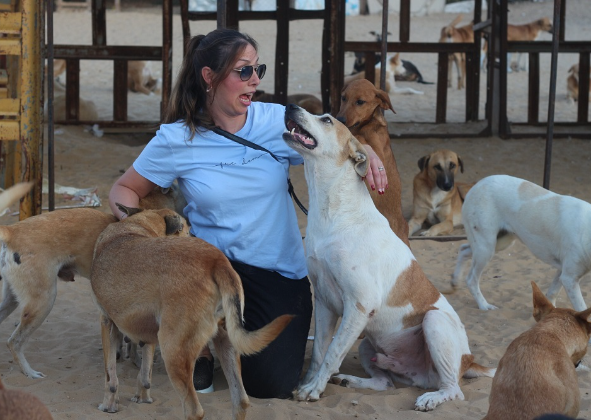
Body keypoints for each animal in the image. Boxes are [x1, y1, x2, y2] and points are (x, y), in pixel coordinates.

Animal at [92, 206, 294, 420]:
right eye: (188, 230)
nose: (195, 234)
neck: (136, 226)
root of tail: (216, 260)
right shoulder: (147, 334)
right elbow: (145, 373)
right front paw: (142, 397)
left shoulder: (107, 323)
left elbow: (110, 376)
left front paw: (109, 404)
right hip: (226, 344)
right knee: (241, 401)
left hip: (173, 351)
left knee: (194, 410)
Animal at [454, 174, 591, 312]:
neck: (586, 230)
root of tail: (477, 185)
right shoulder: (569, 279)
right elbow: (582, 309)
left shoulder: (563, 272)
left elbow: (552, 293)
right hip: (486, 248)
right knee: (471, 279)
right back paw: (484, 305)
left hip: (498, 243)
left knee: (463, 249)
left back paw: (454, 281)